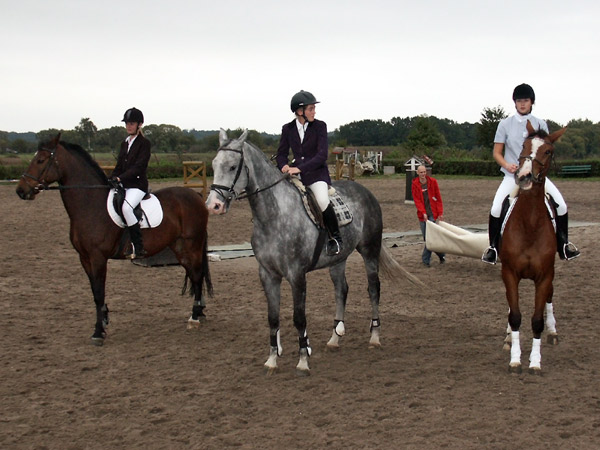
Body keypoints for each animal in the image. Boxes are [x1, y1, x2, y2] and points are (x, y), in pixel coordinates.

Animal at [15, 134, 213, 344]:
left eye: (40, 160)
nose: (20, 190)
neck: (90, 204)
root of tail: (196, 196)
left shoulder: (98, 257)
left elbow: (99, 292)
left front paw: (98, 332)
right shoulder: (84, 258)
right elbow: (95, 292)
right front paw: (103, 320)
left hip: (192, 243)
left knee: (197, 274)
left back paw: (195, 317)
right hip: (179, 246)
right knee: (193, 273)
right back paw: (199, 312)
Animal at [204, 128, 420, 374]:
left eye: (232, 167)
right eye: (214, 165)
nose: (213, 205)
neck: (273, 215)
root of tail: (366, 192)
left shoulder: (296, 275)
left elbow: (299, 318)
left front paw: (303, 360)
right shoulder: (268, 275)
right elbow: (273, 318)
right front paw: (272, 360)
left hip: (369, 251)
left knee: (373, 289)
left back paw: (374, 337)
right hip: (338, 259)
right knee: (341, 290)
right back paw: (335, 338)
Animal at [502, 121, 568, 374]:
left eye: (548, 151)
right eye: (524, 146)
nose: (524, 177)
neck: (529, 223)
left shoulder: (545, 275)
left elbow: (537, 320)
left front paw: (535, 362)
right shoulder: (509, 273)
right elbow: (515, 316)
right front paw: (515, 359)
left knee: (550, 297)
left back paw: (553, 332)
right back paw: (508, 338)